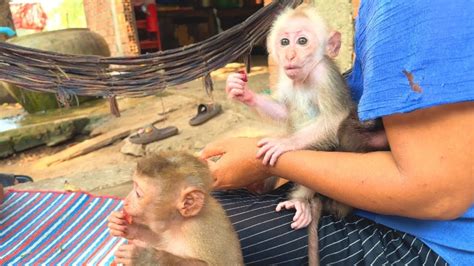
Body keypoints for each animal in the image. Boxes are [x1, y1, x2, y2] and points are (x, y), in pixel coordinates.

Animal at [108, 153, 244, 264]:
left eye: (138, 194)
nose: (126, 201)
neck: (180, 223)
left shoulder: (200, 231)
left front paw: (145, 257)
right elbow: (160, 240)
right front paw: (128, 227)